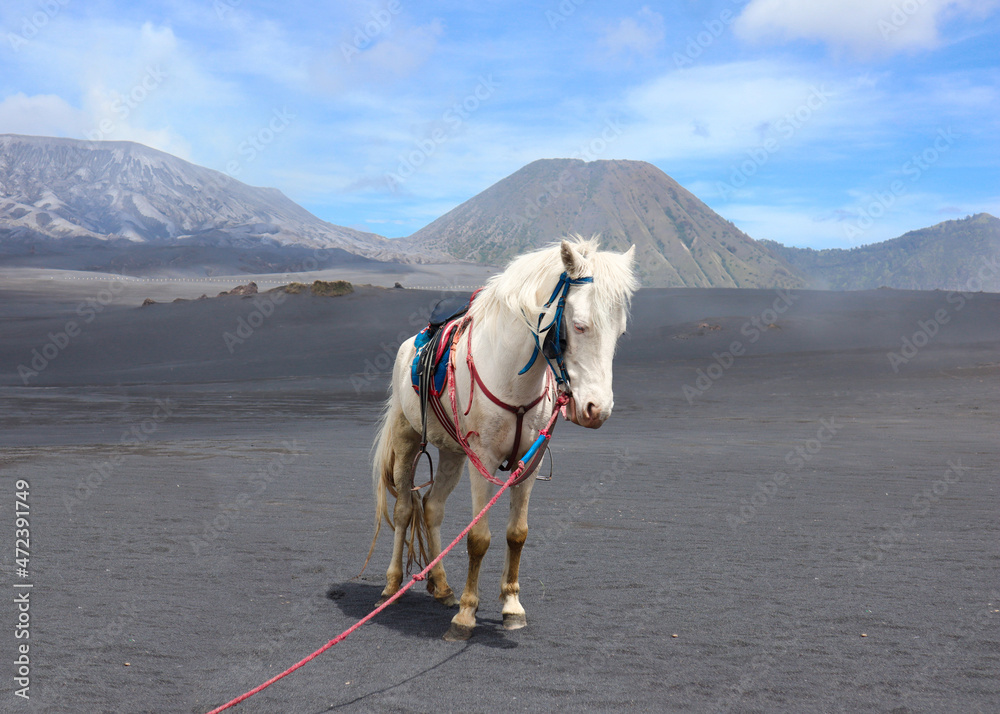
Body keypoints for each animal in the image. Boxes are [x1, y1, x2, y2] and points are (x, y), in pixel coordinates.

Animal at [366, 235, 632, 640]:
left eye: (620, 332)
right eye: (580, 326)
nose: (596, 409)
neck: (512, 375)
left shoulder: (528, 462)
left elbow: (516, 533)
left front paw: (511, 607)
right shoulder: (484, 460)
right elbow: (479, 538)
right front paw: (466, 616)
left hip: (453, 453)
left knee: (432, 507)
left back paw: (442, 586)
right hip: (408, 438)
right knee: (404, 509)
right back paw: (392, 584)